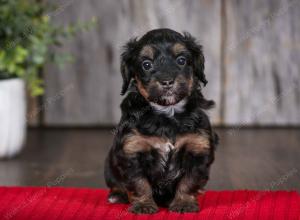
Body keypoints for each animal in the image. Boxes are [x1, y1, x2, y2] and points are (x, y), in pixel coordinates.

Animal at [105, 28, 218, 214]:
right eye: (146, 64)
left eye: (181, 60)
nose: (167, 82)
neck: (167, 112)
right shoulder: (132, 149)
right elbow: (139, 182)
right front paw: (143, 205)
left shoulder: (197, 148)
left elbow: (189, 180)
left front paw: (184, 203)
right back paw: (116, 195)